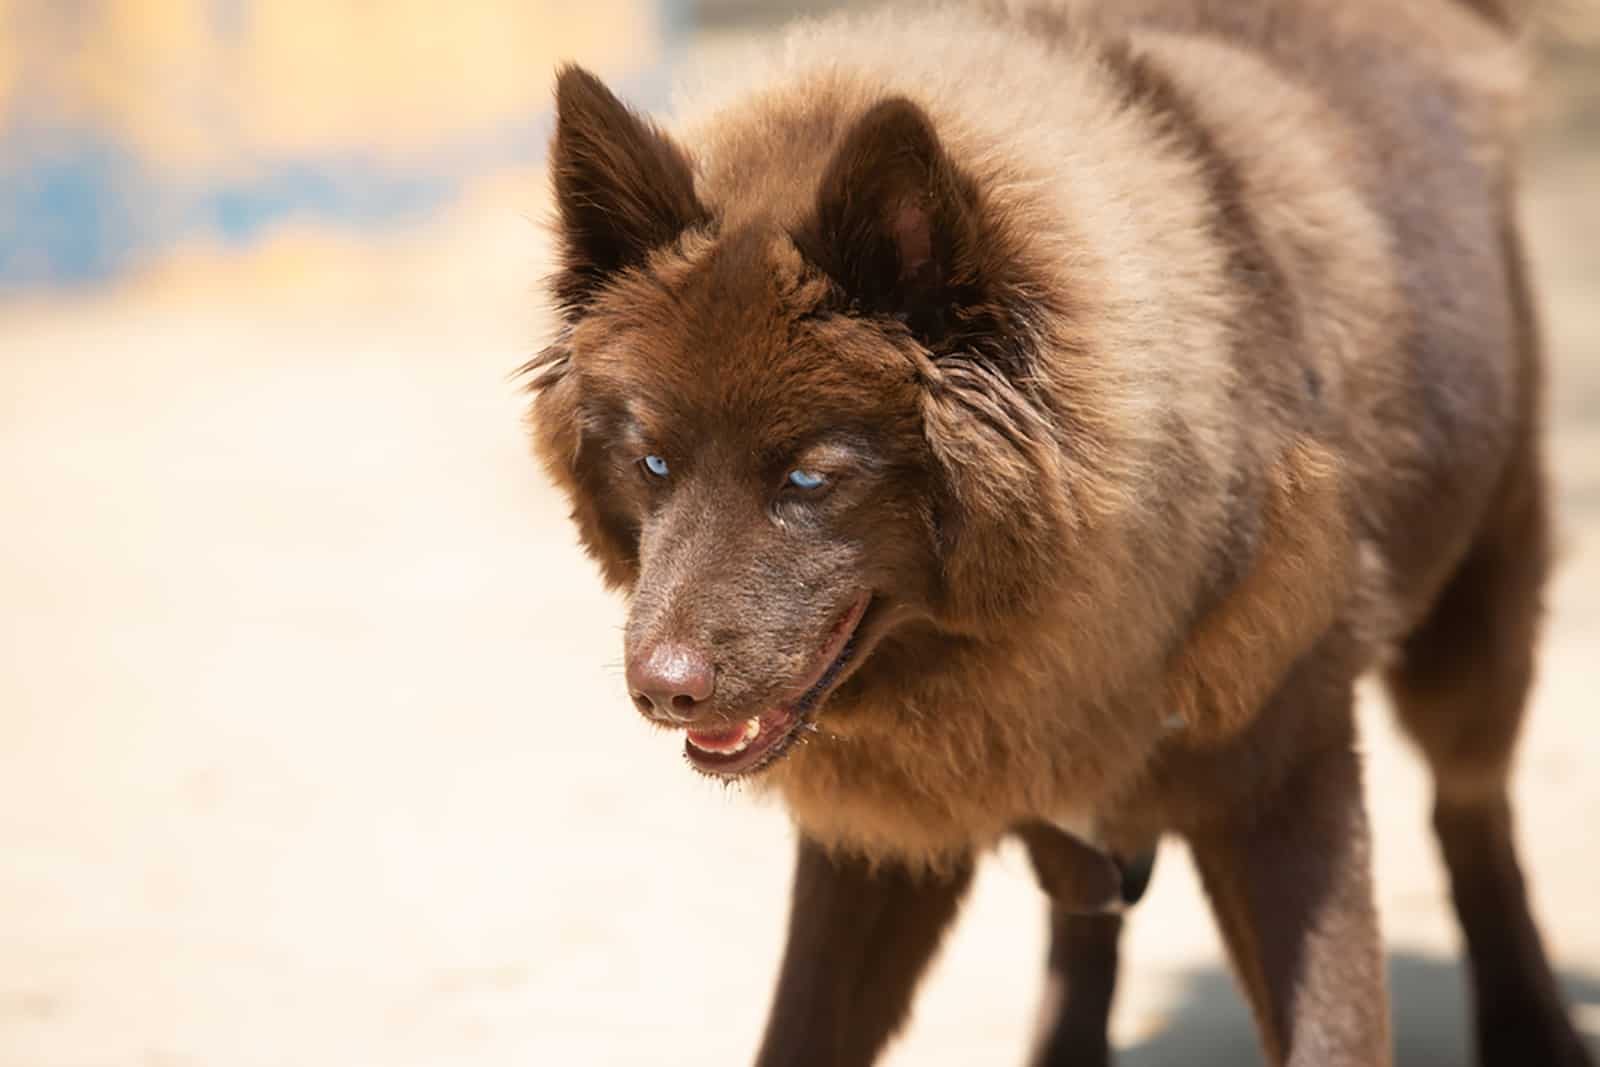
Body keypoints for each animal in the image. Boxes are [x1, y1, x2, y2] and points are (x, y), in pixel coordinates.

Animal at [521, 4, 1587, 1062]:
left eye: (811, 477)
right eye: (652, 463)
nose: (663, 692)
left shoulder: (1286, 774)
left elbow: (1332, 1026)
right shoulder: (884, 834)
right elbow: (804, 1025)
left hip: (1470, 634)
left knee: (1472, 812)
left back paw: (1532, 1023)